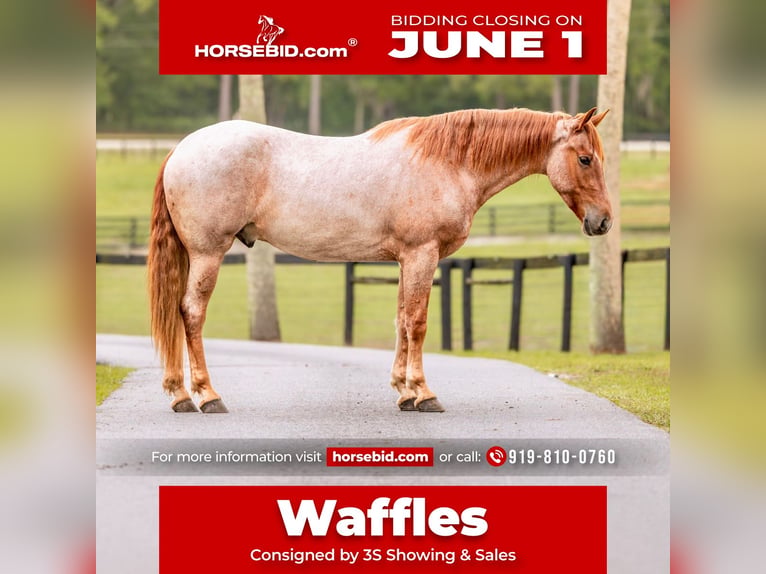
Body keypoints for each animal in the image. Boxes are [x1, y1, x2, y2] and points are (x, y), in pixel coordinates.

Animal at [148, 107, 611, 414]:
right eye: (585, 158)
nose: (603, 221)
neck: (447, 162)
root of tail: (181, 149)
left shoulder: (408, 259)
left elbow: (402, 320)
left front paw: (404, 391)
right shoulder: (423, 254)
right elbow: (418, 323)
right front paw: (424, 393)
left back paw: (180, 393)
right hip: (208, 254)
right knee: (191, 313)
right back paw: (207, 396)